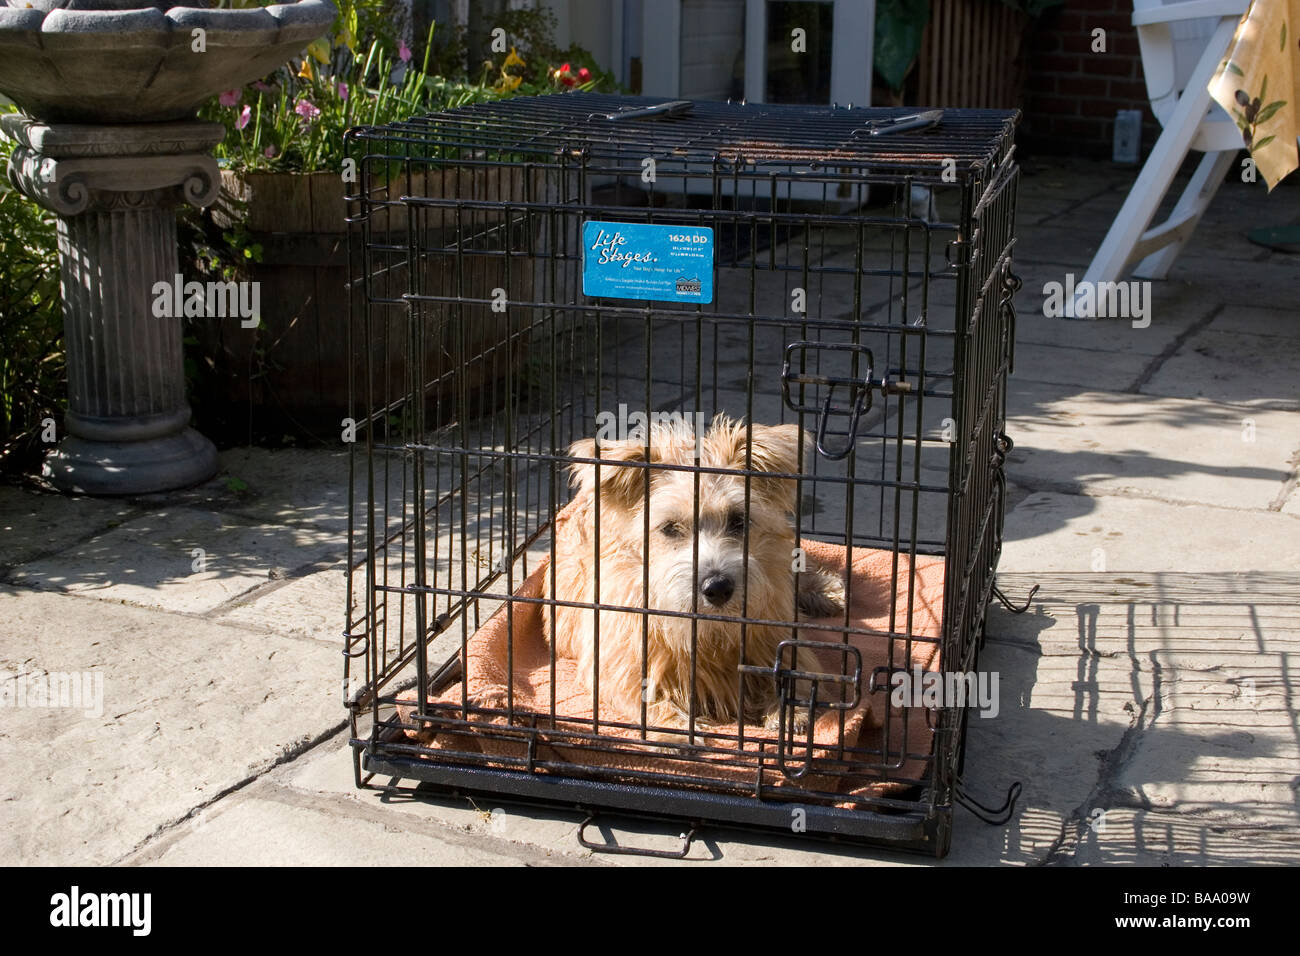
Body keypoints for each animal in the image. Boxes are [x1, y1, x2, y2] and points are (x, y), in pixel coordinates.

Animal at [538, 416, 842, 738]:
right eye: (670, 527)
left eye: (738, 520)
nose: (718, 587)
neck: (710, 630)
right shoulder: (617, 664)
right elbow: (647, 699)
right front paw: (677, 727)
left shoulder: (778, 638)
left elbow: (794, 670)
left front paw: (791, 710)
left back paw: (827, 591)